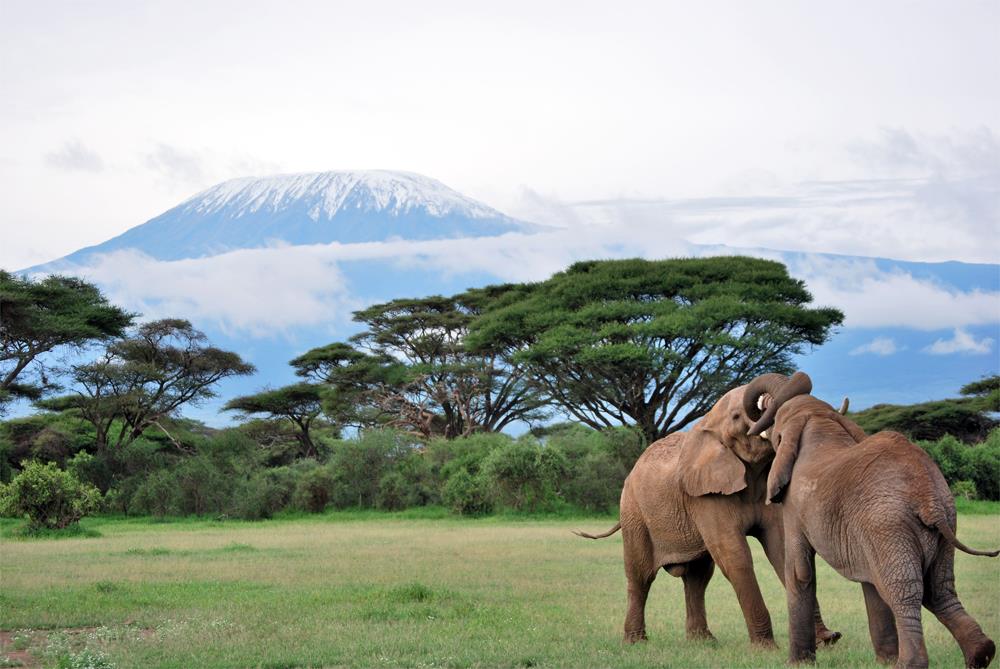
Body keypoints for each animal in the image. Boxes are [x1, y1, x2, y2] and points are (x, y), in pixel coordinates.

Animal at [576, 374, 845, 648]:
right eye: (737, 416)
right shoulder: (705, 496)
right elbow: (735, 555)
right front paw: (766, 648)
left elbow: (780, 548)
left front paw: (827, 639)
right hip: (634, 512)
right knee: (640, 575)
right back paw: (636, 642)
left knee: (698, 577)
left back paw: (702, 642)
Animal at [745, 371, 999, 669]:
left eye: (776, 420)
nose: (763, 405)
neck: (819, 421)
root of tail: (928, 496)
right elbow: (869, 581)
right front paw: (885, 661)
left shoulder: (794, 506)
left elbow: (800, 572)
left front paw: (797, 664)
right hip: (939, 521)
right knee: (938, 591)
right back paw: (980, 654)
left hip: (889, 525)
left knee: (904, 593)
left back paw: (910, 663)